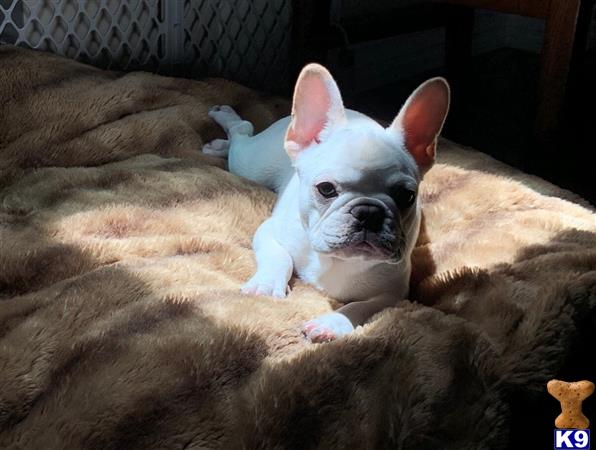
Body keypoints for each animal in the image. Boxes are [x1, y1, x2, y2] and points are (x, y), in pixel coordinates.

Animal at [203, 63, 450, 342]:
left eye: (407, 196)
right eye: (326, 189)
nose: (368, 211)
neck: (338, 260)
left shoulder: (395, 293)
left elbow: (363, 307)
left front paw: (333, 323)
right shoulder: (269, 231)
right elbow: (279, 256)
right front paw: (265, 285)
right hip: (250, 164)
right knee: (242, 131)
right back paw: (224, 119)